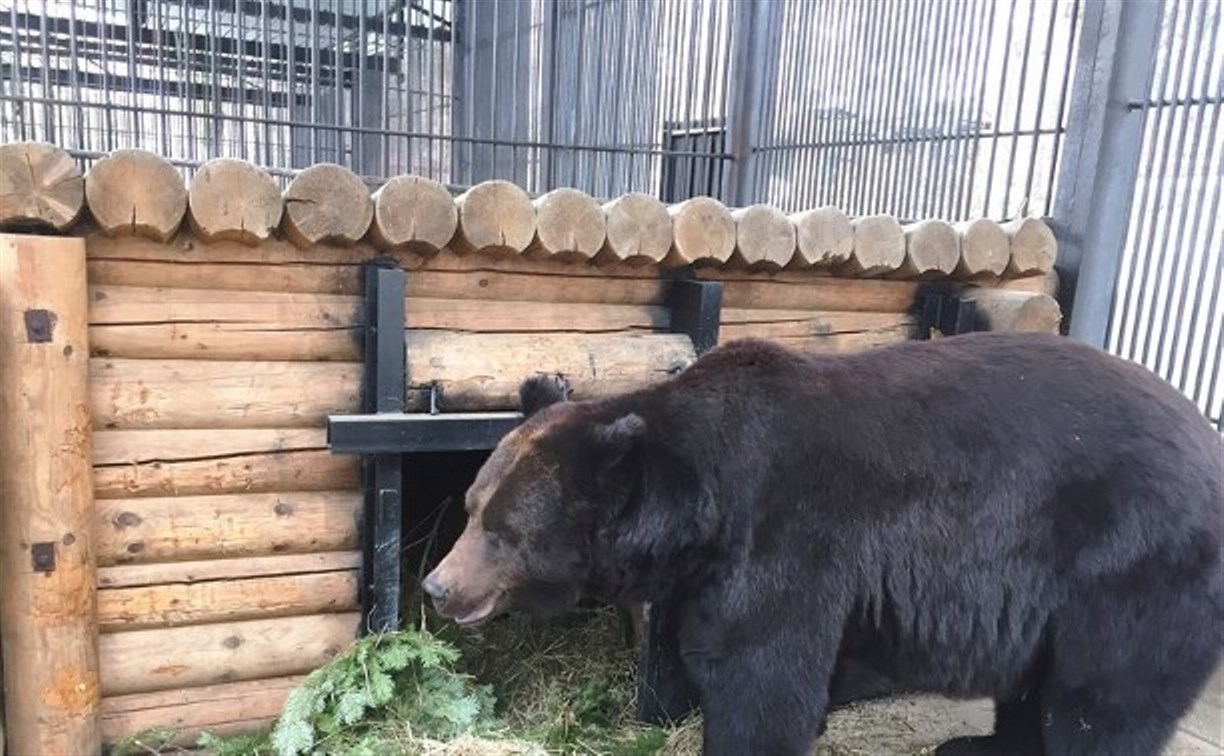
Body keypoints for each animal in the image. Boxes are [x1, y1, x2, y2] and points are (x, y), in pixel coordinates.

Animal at [423, 330, 1224, 753]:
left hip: (1127, 565)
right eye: (470, 506)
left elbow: (765, 679)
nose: (436, 585)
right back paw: (980, 742)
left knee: (1105, 698)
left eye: (503, 531)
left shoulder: (789, 538)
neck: (703, 507)